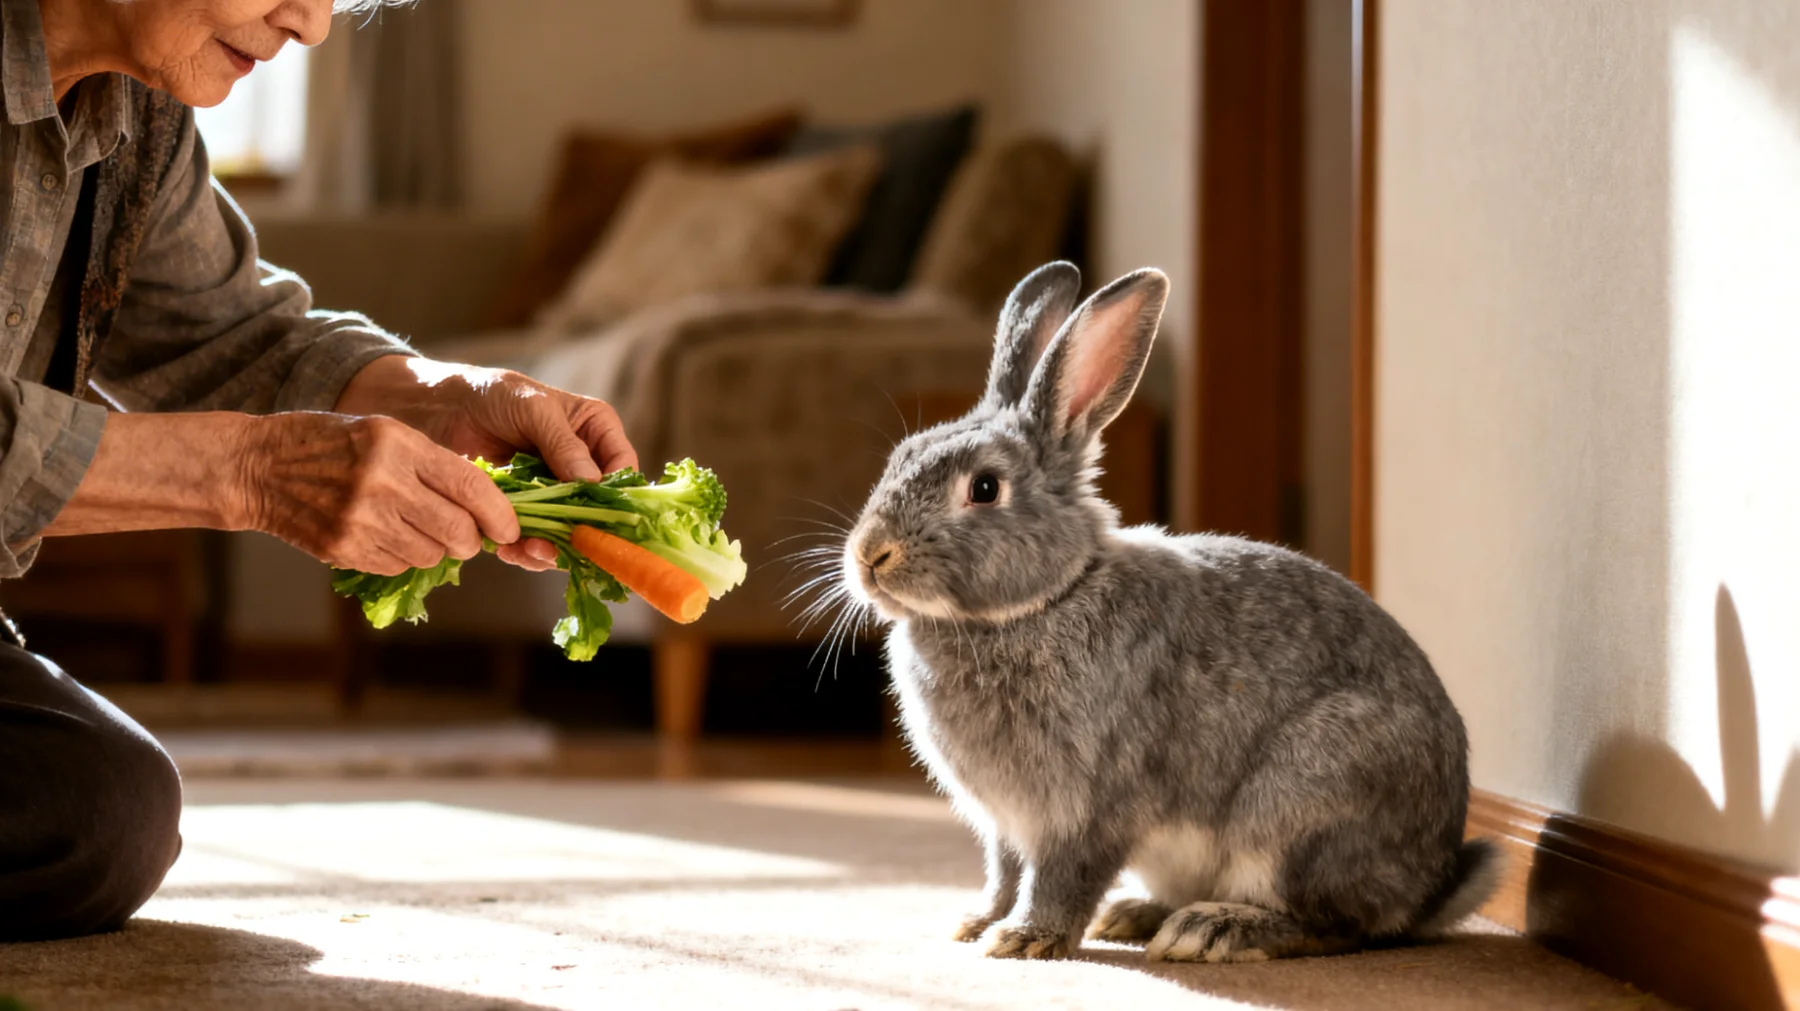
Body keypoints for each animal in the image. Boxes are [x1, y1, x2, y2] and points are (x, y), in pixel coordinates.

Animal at [837, 261, 1498, 963]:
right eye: (902, 455)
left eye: (984, 488)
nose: (870, 555)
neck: (1048, 598)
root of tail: (1431, 887)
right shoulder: (1005, 824)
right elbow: (1004, 873)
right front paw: (976, 924)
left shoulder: (1085, 807)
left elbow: (1061, 877)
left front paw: (1022, 939)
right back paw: (1136, 915)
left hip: (1303, 803)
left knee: (1336, 925)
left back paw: (1213, 930)